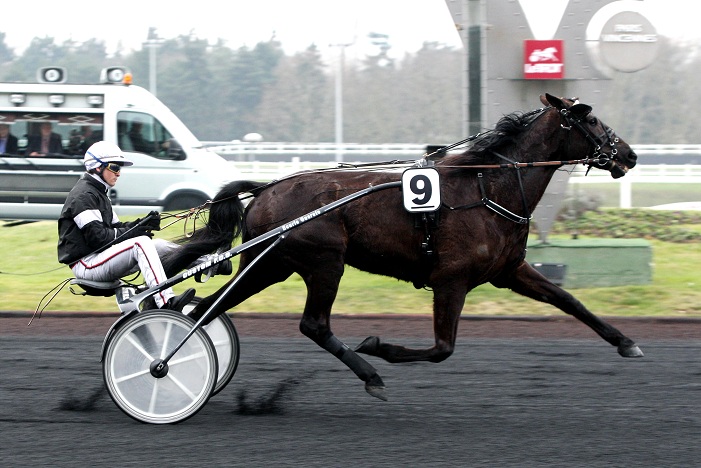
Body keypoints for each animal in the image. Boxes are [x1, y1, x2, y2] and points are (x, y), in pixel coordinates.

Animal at [161, 95, 644, 402]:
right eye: (592, 120)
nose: (630, 155)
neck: (488, 189)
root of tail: (266, 188)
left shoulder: (509, 270)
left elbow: (568, 299)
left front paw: (625, 342)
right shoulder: (451, 279)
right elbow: (442, 348)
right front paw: (379, 346)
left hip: (271, 264)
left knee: (204, 307)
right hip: (323, 262)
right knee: (313, 324)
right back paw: (369, 373)